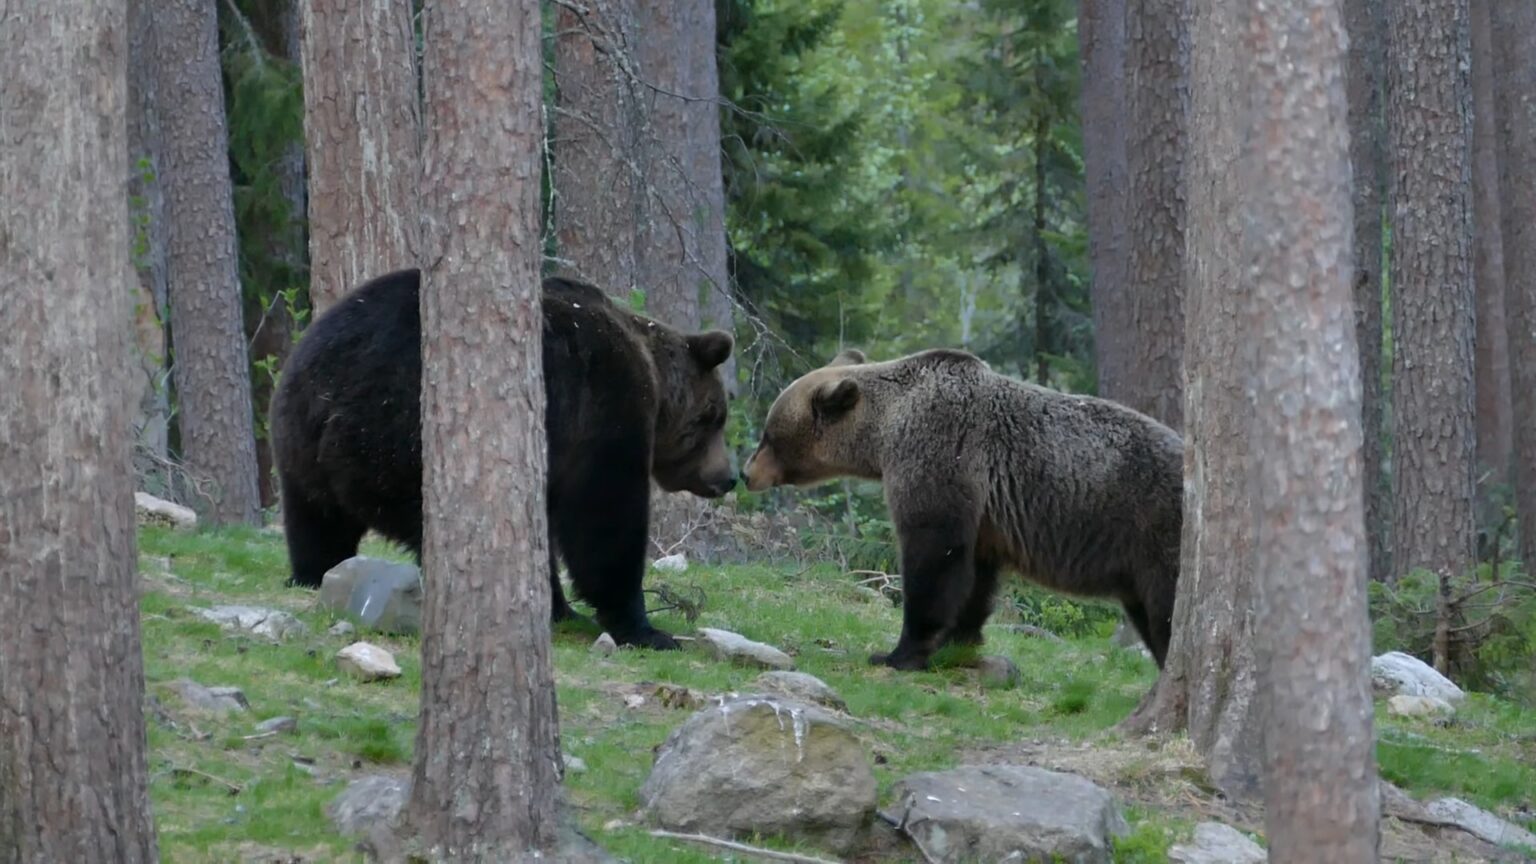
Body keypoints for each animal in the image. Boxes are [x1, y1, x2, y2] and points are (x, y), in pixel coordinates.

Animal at [268, 267, 737, 650]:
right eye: (715, 417)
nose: (728, 477)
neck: (655, 386)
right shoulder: (604, 413)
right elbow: (605, 522)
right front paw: (645, 629)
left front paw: (559, 606)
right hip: (399, 440)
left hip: (298, 439)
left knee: (316, 521)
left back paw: (311, 573)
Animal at [741, 347, 1183, 671]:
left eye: (768, 435)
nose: (745, 473)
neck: (884, 433)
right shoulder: (986, 513)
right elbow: (975, 577)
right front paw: (959, 639)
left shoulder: (939, 453)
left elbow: (934, 554)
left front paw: (898, 652)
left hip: (1158, 531)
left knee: (1166, 611)